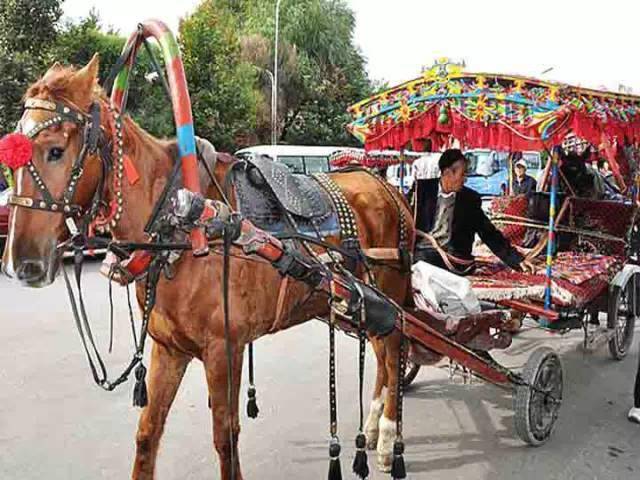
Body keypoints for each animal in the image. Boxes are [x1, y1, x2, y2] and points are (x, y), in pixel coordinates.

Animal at [1, 55, 416, 476]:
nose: (21, 264)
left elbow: (224, 437)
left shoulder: (224, 349)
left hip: (391, 292)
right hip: (360, 303)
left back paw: (387, 437)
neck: (185, 225)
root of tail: (384, 186)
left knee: (395, 351)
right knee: (382, 355)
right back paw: (373, 424)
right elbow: (148, 432)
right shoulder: (169, 348)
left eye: (55, 151)